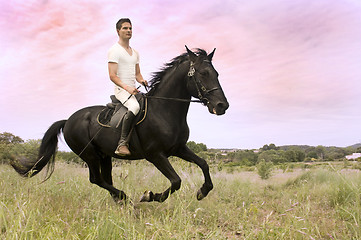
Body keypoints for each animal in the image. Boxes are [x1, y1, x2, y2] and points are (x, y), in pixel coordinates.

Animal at [13, 46, 231, 202]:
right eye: (203, 73)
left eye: (217, 74)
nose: (222, 106)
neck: (165, 110)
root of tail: (68, 121)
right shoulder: (155, 155)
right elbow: (176, 181)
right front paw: (150, 196)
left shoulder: (178, 148)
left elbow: (203, 164)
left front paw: (203, 191)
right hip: (89, 155)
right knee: (96, 179)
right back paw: (124, 197)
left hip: (104, 155)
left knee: (104, 179)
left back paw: (119, 200)